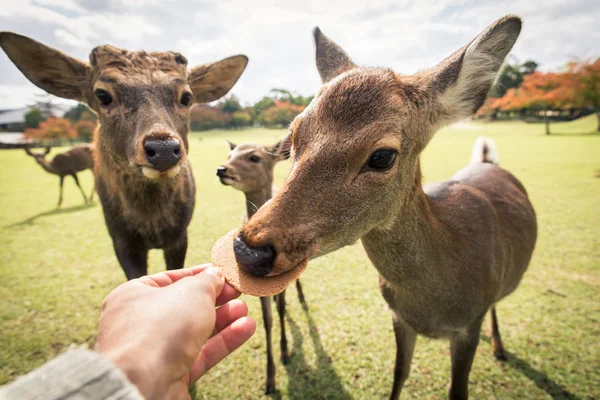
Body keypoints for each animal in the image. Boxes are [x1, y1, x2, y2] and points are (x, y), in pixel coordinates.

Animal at [0, 32, 248, 280]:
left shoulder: (180, 234)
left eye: (186, 97)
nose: (163, 148)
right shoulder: (120, 239)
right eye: (102, 95)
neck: (152, 223)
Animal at [216, 137, 304, 394]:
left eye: (254, 157)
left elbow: (282, 309)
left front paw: (285, 352)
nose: (222, 169)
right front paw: (270, 380)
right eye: (230, 154)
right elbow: (267, 320)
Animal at [231, 14, 540, 398]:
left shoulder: (468, 325)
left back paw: (499, 347)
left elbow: (457, 389)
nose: (248, 249)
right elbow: (399, 373)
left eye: (382, 156)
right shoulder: (398, 317)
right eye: (294, 137)